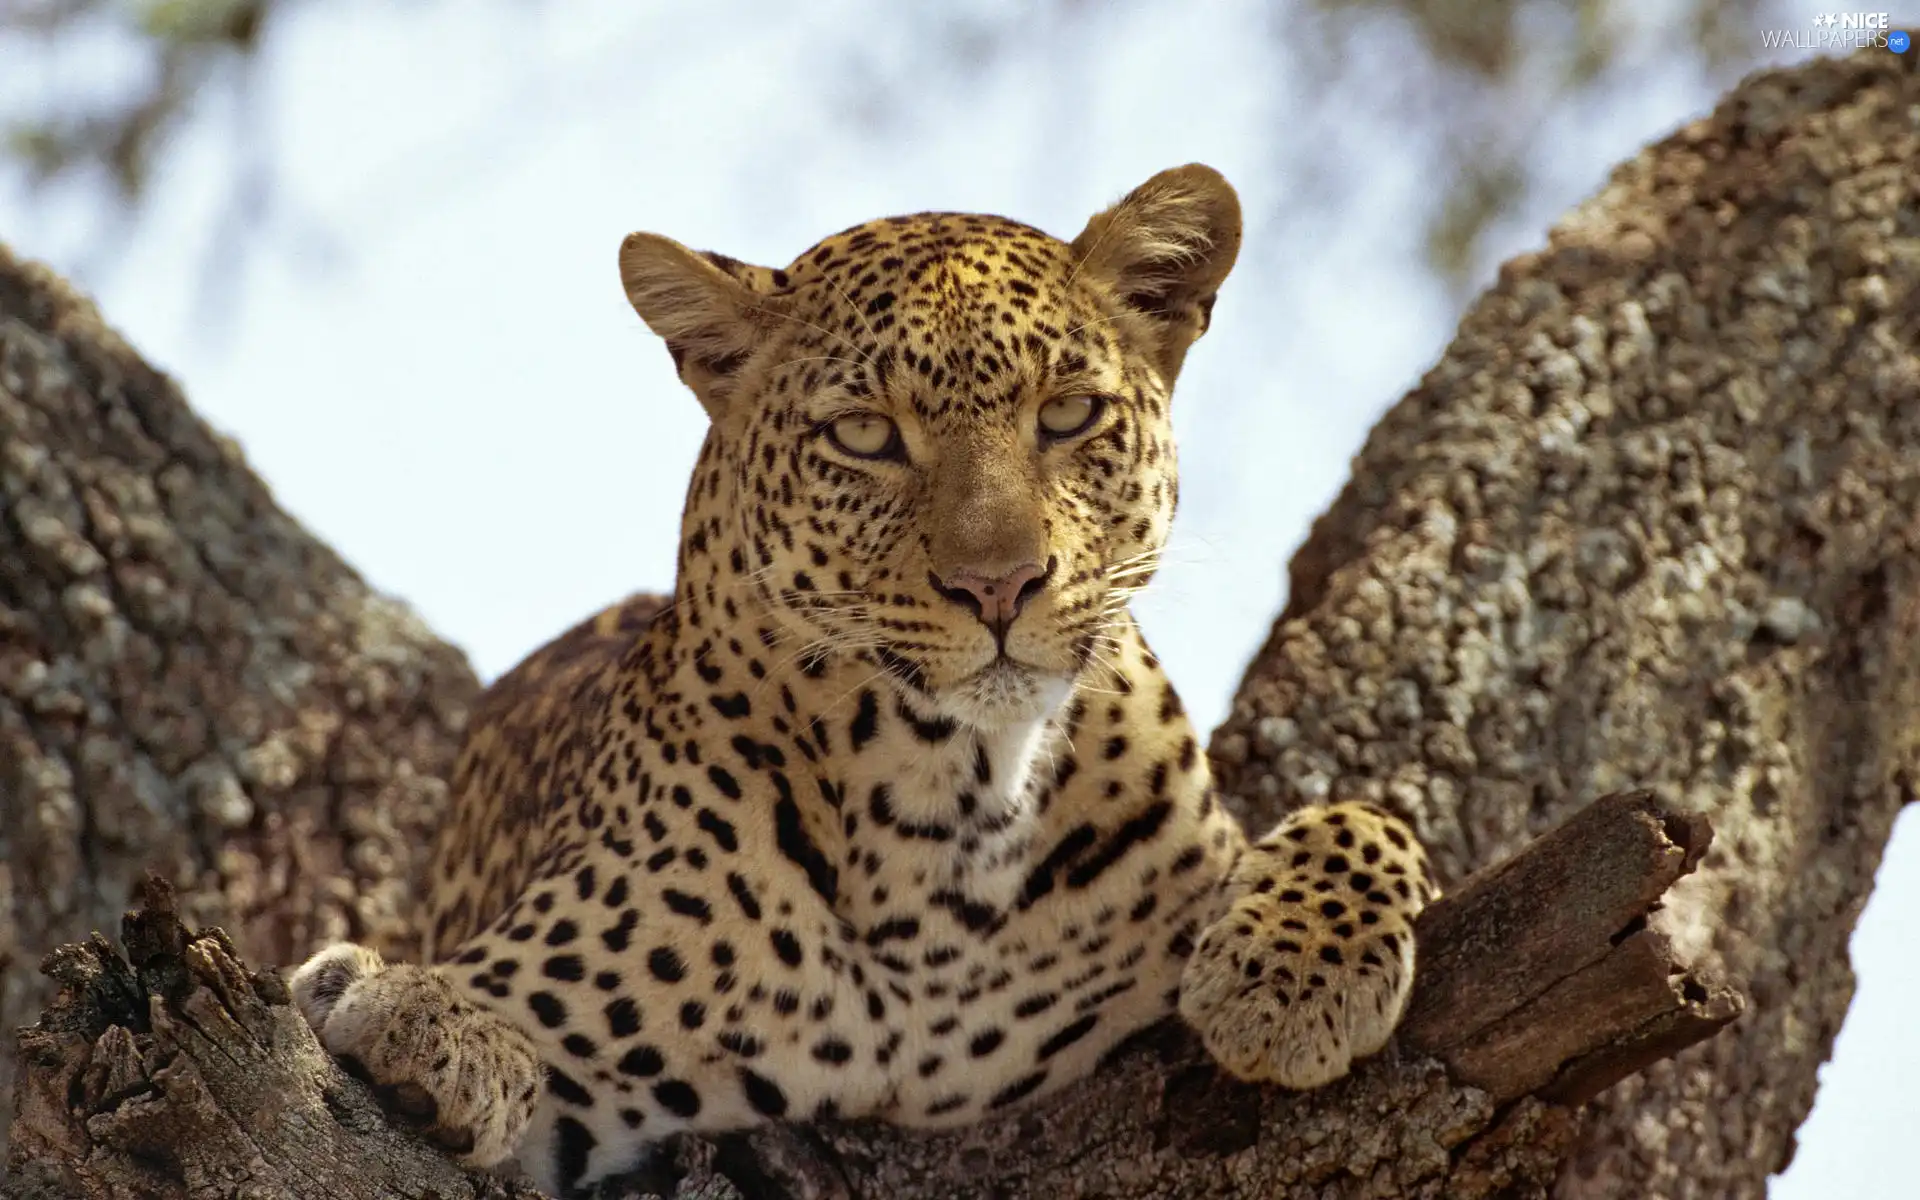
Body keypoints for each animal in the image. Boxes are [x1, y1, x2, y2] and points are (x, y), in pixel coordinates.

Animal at [291, 164, 1436, 1190]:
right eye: (866, 435)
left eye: (1068, 415)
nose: (999, 583)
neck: (949, 808)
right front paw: (417, 1018)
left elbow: (1368, 816)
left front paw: (1290, 977)